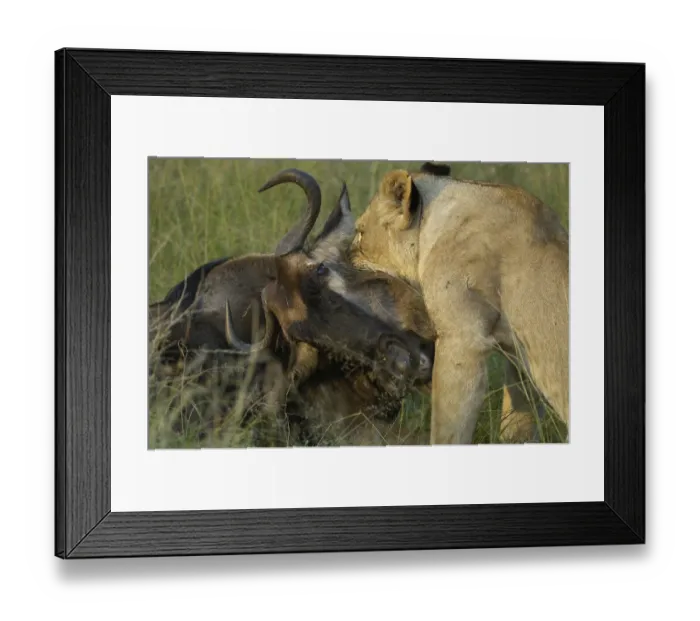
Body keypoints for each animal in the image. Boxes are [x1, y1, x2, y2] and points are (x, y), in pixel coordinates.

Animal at [349, 163, 569, 445]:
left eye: (361, 233)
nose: (343, 258)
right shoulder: (518, 362)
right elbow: (516, 427)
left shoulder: (463, 341)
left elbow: (447, 430)